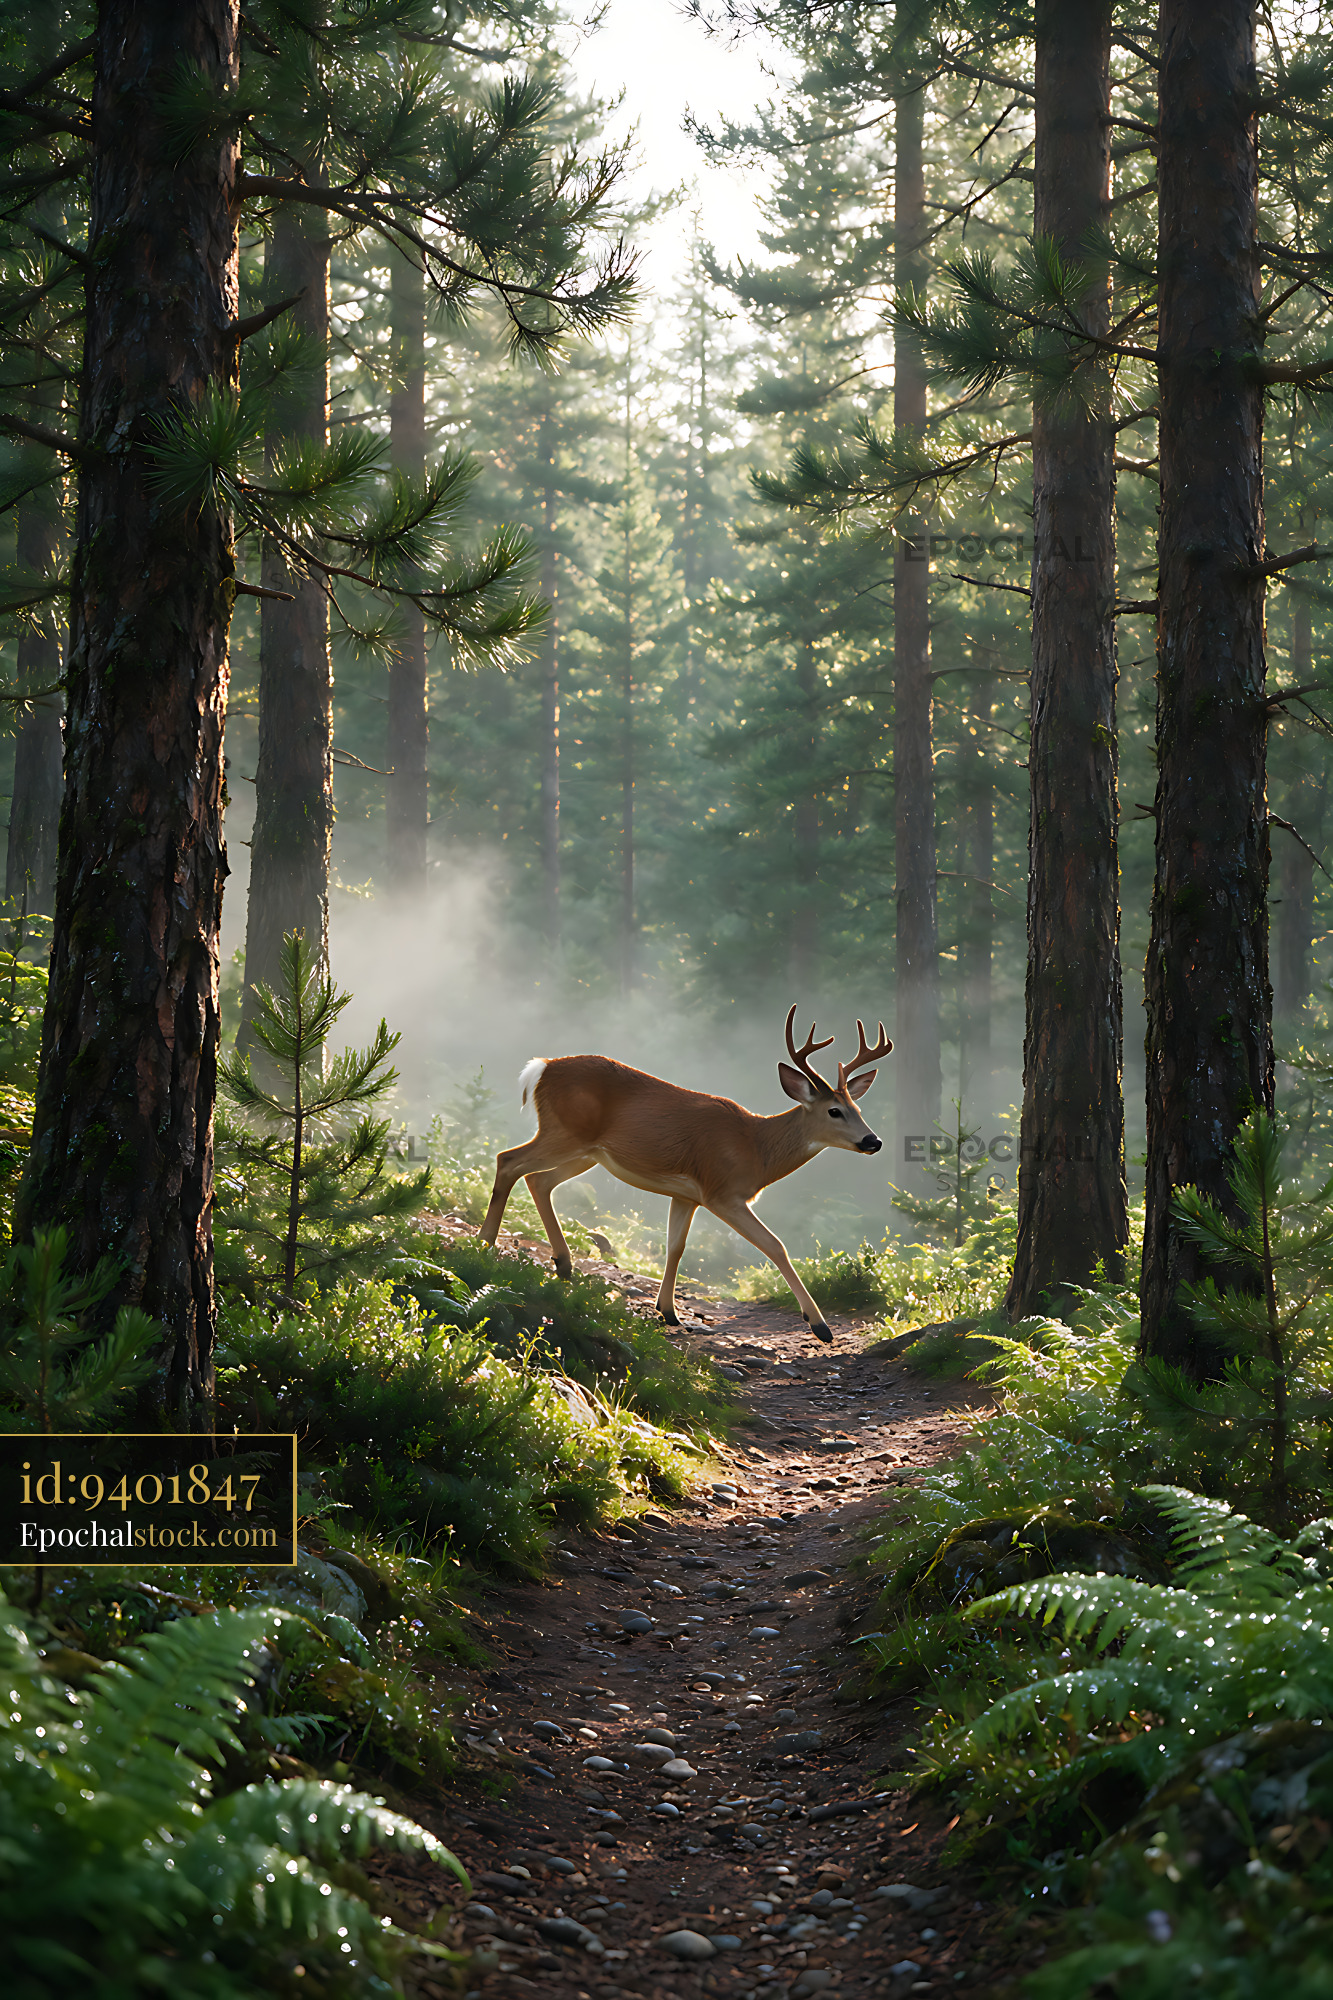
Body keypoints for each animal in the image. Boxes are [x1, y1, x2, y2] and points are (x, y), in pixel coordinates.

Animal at [478, 1008, 891, 1344]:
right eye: (835, 1111)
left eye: (858, 1108)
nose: (874, 1141)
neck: (757, 1149)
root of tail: (542, 1067)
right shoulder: (721, 1192)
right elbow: (775, 1246)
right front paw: (820, 1326)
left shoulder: (687, 1195)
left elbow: (676, 1246)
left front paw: (669, 1312)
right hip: (565, 1133)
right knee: (508, 1160)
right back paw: (485, 1243)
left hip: (587, 1153)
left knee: (538, 1180)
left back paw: (563, 1265)